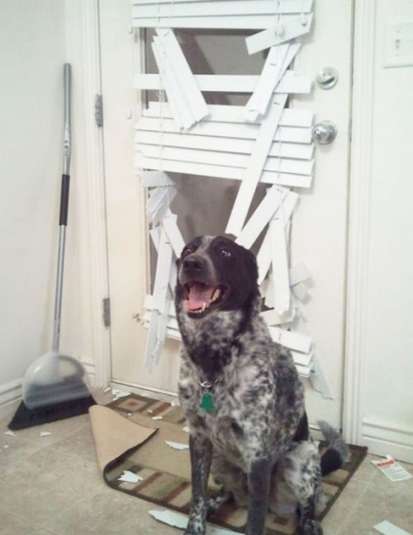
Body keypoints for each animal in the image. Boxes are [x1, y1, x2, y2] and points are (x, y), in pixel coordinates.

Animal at [175, 235, 348, 535]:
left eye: (225, 252)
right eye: (188, 249)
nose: (191, 263)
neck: (214, 356)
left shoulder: (258, 455)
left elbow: (255, 521)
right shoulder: (198, 439)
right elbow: (197, 494)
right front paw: (196, 524)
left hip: (301, 462)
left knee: (310, 501)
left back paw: (309, 523)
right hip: (220, 460)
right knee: (229, 493)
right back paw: (215, 503)